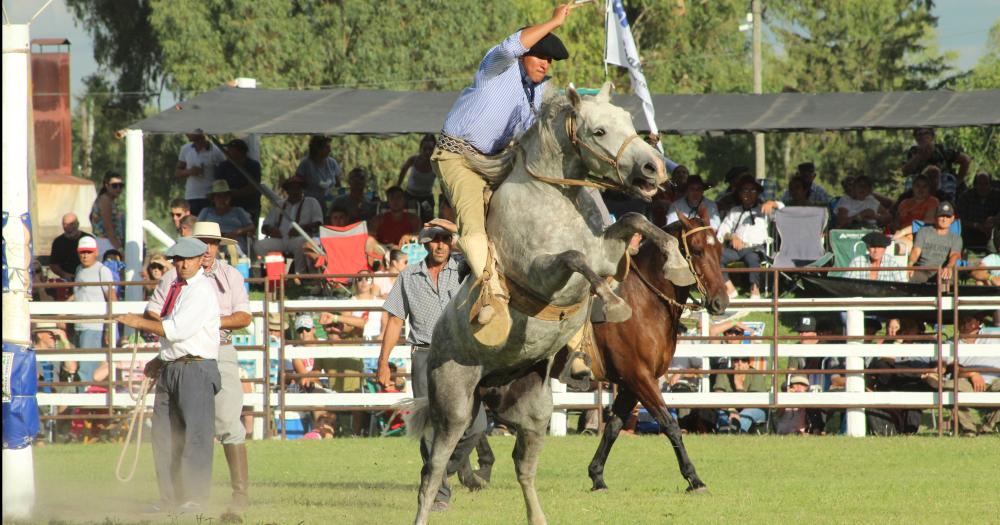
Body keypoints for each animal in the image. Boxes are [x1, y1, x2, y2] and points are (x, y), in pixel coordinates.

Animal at [406, 83, 688, 524]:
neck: (554, 197)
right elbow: (574, 257)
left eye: (629, 121)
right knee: (434, 469)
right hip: (454, 405)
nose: (653, 169)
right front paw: (613, 302)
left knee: (523, 468)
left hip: (533, 411)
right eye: (599, 131)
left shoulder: (608, 254)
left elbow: (636, 223)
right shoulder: (542, 273)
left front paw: (677, 263)